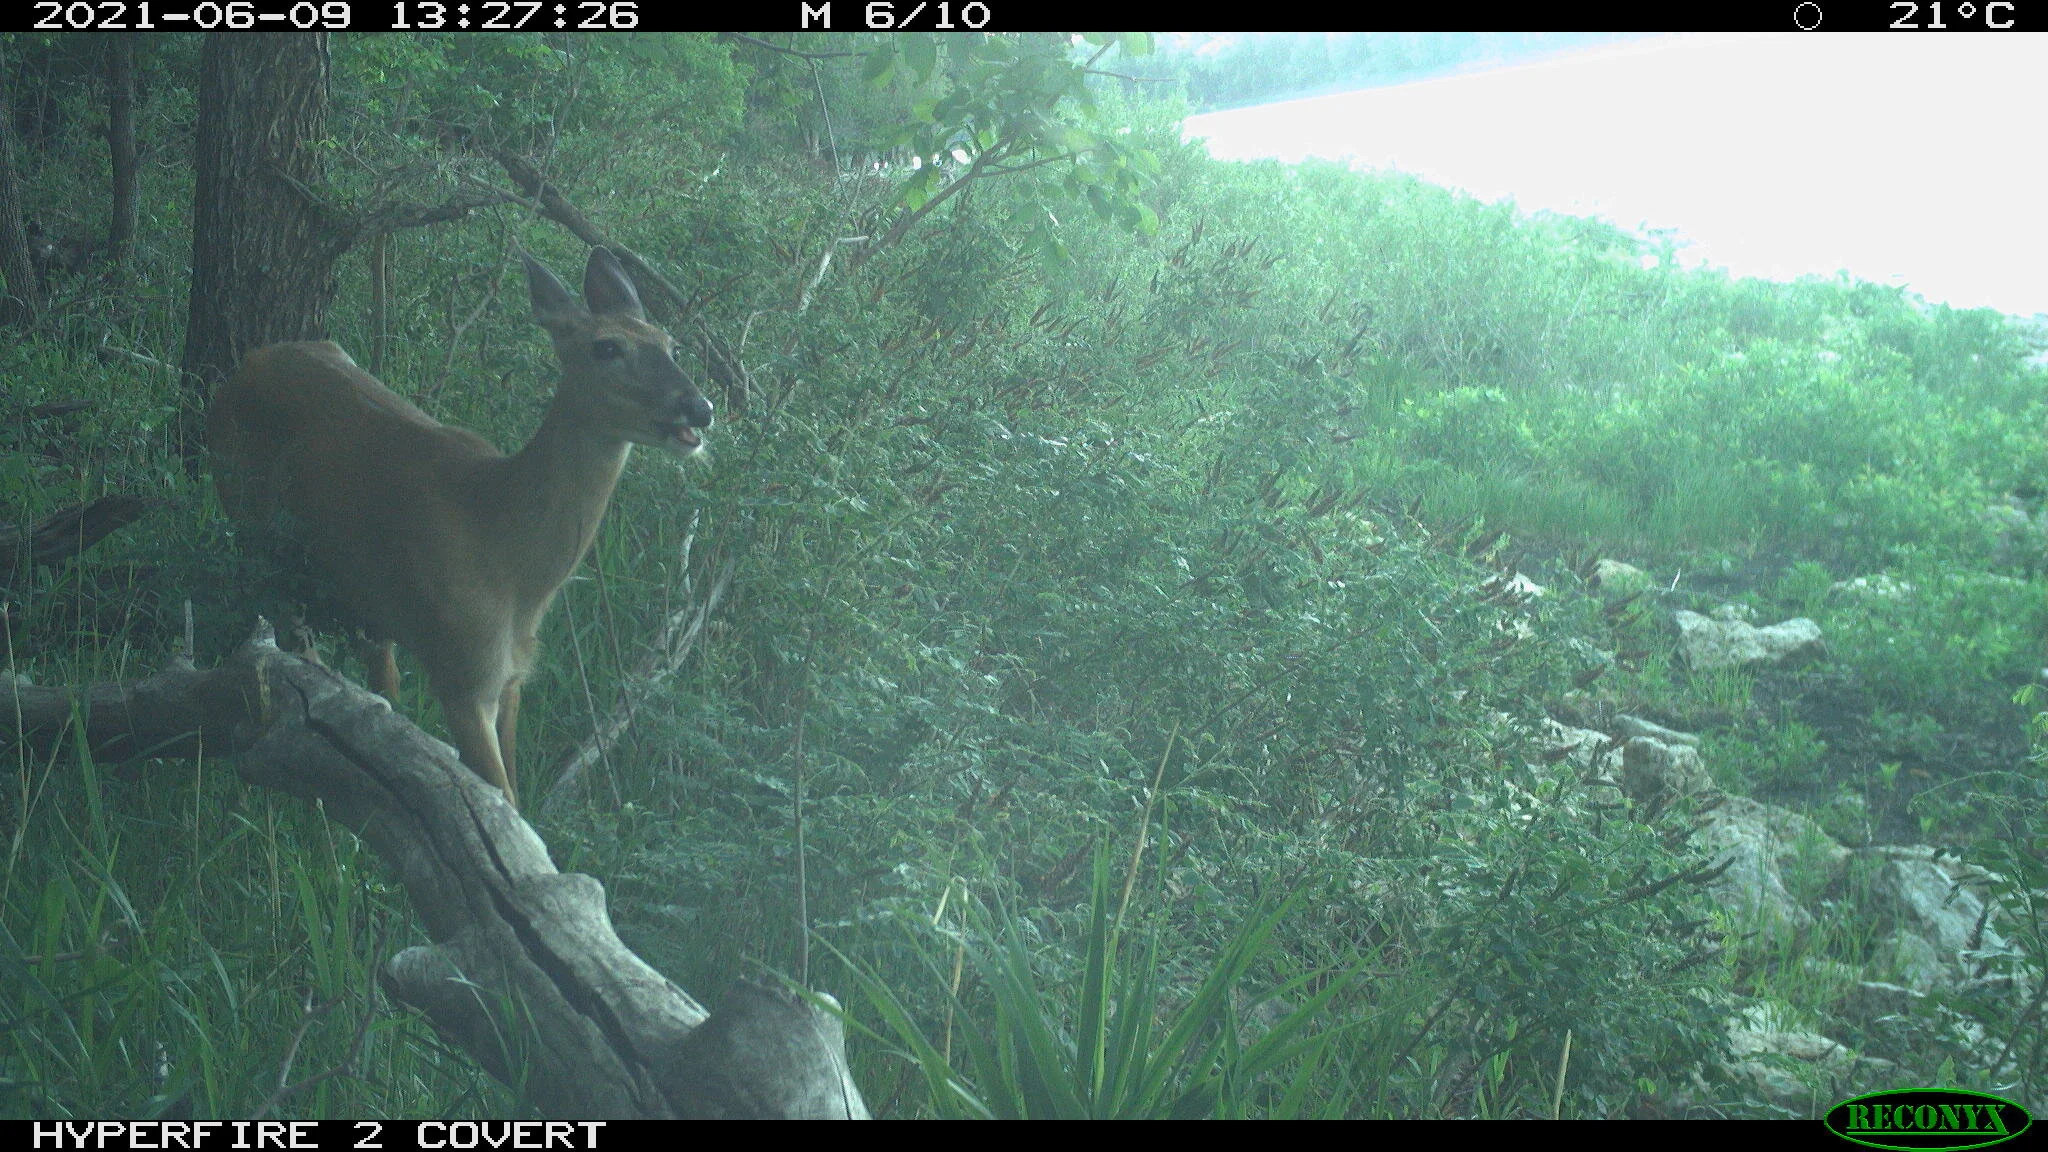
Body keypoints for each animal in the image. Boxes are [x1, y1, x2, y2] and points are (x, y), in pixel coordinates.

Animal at [208, 247, 712, 808]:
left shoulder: (513, 676)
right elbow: (503, 802)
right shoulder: (464, 672)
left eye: (670, 345)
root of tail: (243, 368)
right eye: (606, 347)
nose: (700, 408)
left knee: (373, 669)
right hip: (246, 511)